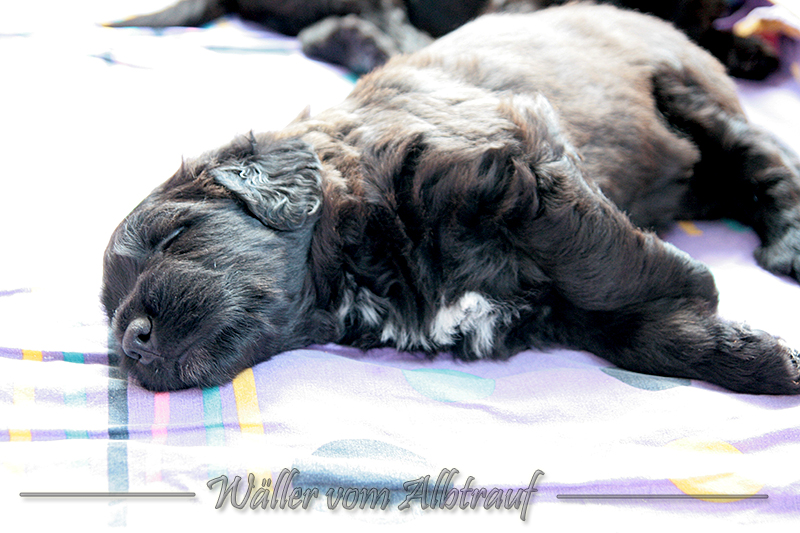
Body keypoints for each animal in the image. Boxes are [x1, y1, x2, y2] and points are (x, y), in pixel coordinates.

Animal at [102, 4, 800, 394]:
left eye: (174, 235)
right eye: (110, 306)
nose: (130, 341)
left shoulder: (518, 169)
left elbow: (606, 268)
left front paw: (692, 286)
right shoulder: (545, 308)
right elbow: (634, 335)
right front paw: (755, 356)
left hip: (687, 95)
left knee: (766, 164)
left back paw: (786, 248)